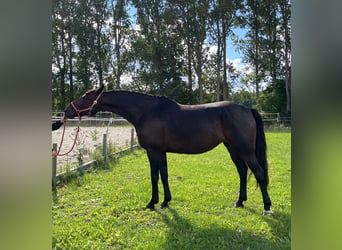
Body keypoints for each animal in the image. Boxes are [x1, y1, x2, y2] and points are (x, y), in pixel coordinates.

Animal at [63, 85, 272, 215]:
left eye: (86, 97)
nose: (66, 111)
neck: (146, 112)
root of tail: (247, 109)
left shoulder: (153, 151)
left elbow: (154, 176)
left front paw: (152, 203)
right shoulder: (161, 152)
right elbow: (164, 175)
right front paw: (165, 201)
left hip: (245, 150)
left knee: (258, 173)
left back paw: (267, 206)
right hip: (233, 148)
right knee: (243, 172)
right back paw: (240, 201)